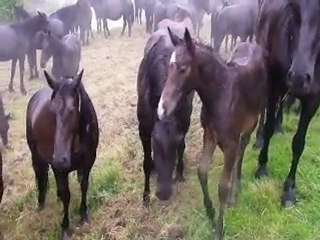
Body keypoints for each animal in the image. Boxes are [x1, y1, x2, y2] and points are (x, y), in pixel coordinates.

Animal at [26, 69, 99, 238]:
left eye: (72, 110)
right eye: (51, 112)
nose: (60, 159)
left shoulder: (88, 162)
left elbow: (84, 185)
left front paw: (83, 215)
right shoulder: (60, 169)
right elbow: (66, 194)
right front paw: (65, 227)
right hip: (37, 156)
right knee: (40, 176)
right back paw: (40, 204)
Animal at [137, 27, 194, 204]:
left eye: (174, 143)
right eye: (155, 141)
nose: (163, 193)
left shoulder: (184, 122)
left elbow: (182, 147)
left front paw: (179, 174)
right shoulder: (144, 129)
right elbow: (146, 162)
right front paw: (146, 195)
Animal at [158, 27, 268, 238]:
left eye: (183, 68)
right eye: (169, 66)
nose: (162, 109)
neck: (220, 94)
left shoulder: (230, 142)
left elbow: (222, 187)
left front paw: (219, 229)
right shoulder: (209, 136)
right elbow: (202, 172)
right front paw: (209, 211)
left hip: (251, 122)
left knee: (242, 151)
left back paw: (235, 190)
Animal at [255, 0, 320, 206]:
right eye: (294, 7)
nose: (299, 77)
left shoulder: (314, 99)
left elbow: (299, 143)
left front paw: (289, 188)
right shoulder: (274, 84)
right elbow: (268, 126)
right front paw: (262, 167)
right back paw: (259, 137)